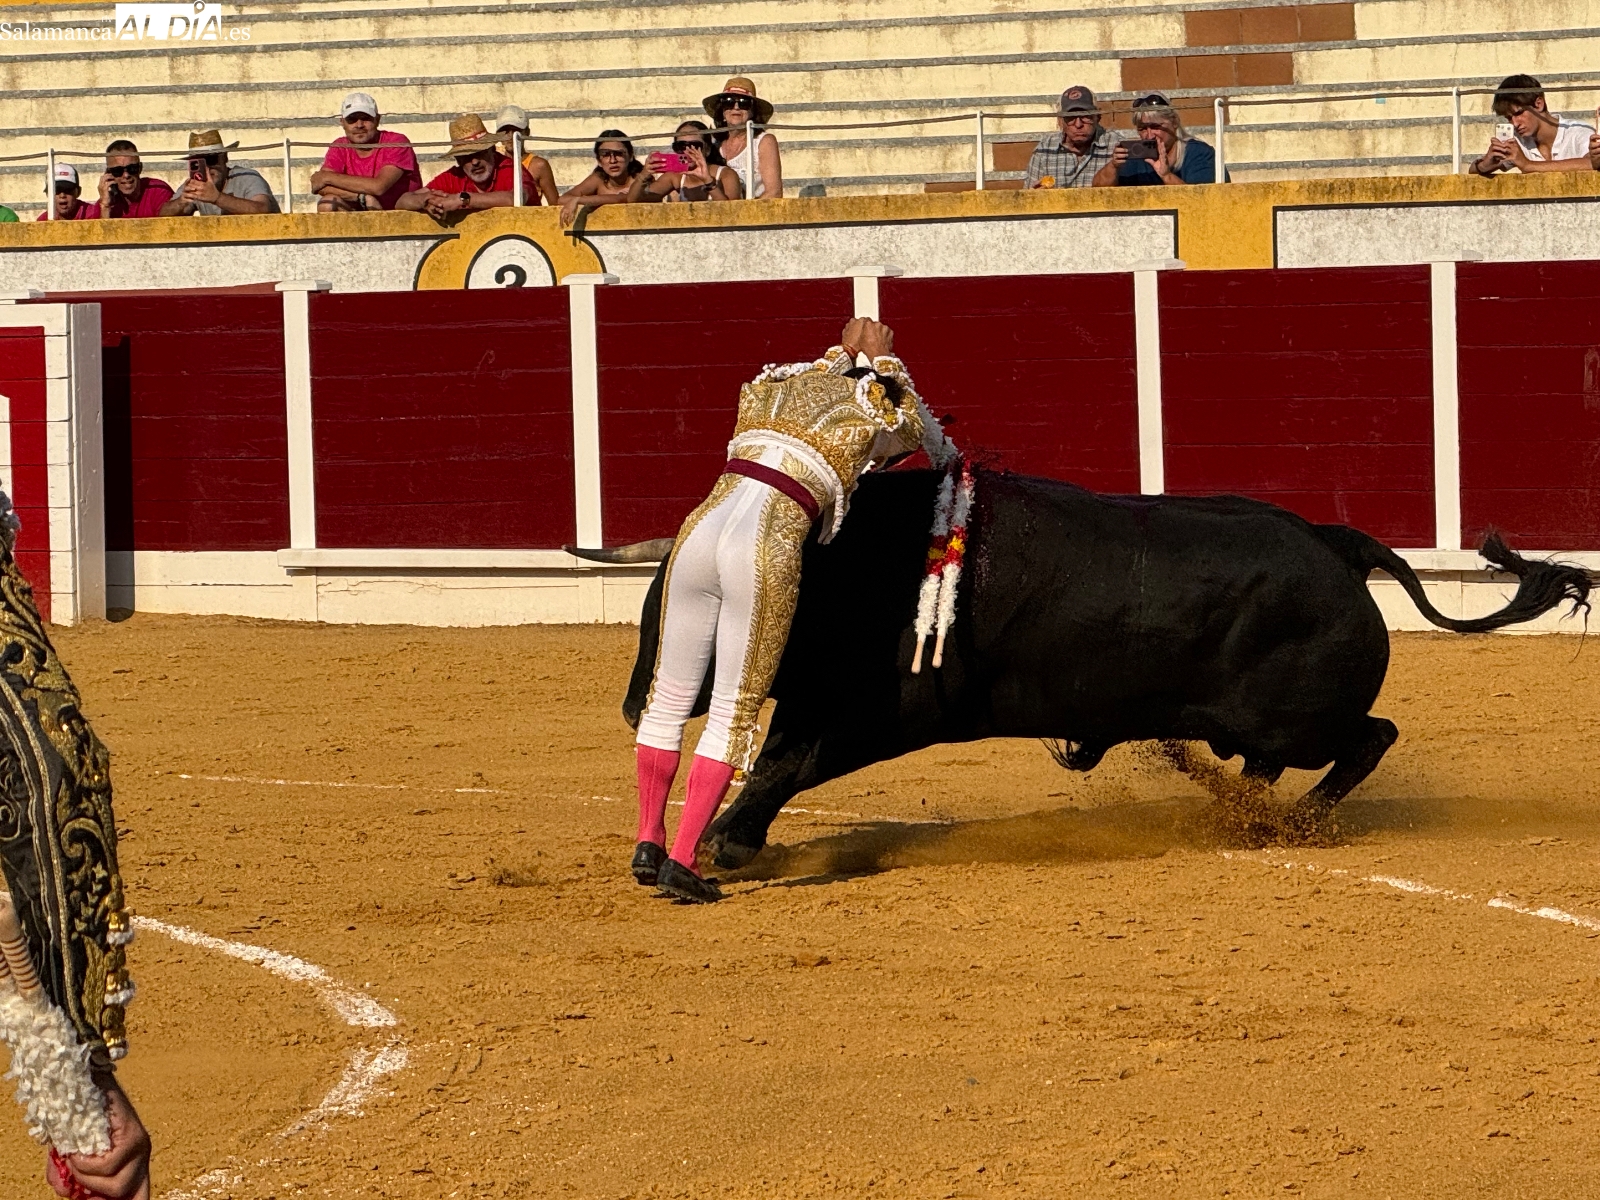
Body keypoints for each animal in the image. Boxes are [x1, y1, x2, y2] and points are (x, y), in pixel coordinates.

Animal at [573, 468, 1592, 871]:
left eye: (683, 606)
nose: (630, 705)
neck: (851, 565)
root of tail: (1332, 540)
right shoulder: (826, 703)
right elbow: (779, 760)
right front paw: (730, 836)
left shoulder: (882, 715)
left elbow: (790, 764)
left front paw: (726, 843)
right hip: (1264, 724)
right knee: (1288, 756)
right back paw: (1240, 808)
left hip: (1297, 719)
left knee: (1368, 736)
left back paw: (1288, 822)